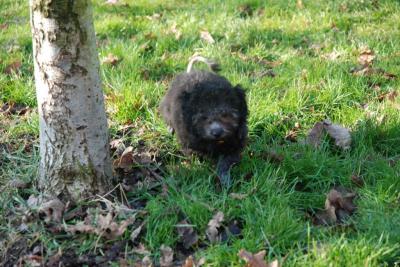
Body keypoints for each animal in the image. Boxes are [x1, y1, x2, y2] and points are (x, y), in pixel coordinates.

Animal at [160, 56, 248, 188]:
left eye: (226, 115)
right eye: (203, 117)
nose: (216, 132)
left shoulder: (235, 141)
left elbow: (227, 160)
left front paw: (224, 178)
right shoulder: (189, 139)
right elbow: (195, 153)